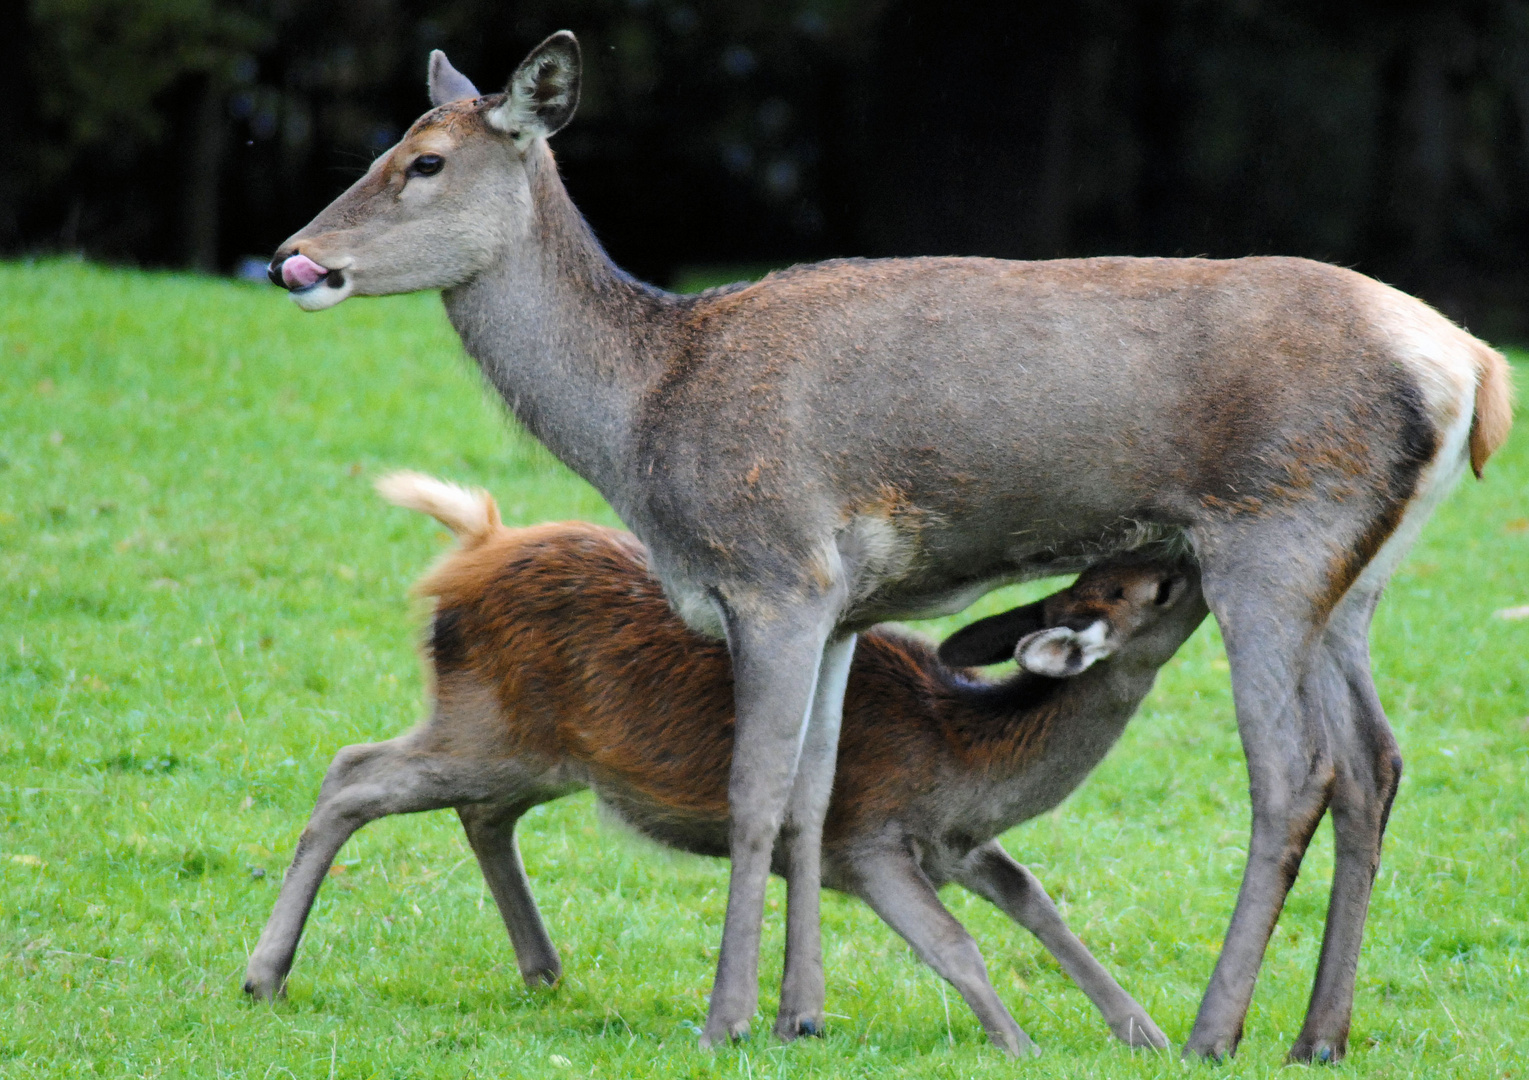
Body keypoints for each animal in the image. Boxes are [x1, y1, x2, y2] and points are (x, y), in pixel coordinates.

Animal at [266, 33, 1516, 1058]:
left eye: (426, 162)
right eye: (386, 146)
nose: (293, 256)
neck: (643, 424)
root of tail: (1473, 367)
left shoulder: (774, 572)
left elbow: (756, 791)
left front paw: (726, 1018)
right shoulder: (839, 607)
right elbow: (813, 795)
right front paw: (800, 1014)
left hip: (1272, 539)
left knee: (1292, 772)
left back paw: (1216, 1030)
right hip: (1353, 581)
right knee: (1374, 762)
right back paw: (1317, 1034)